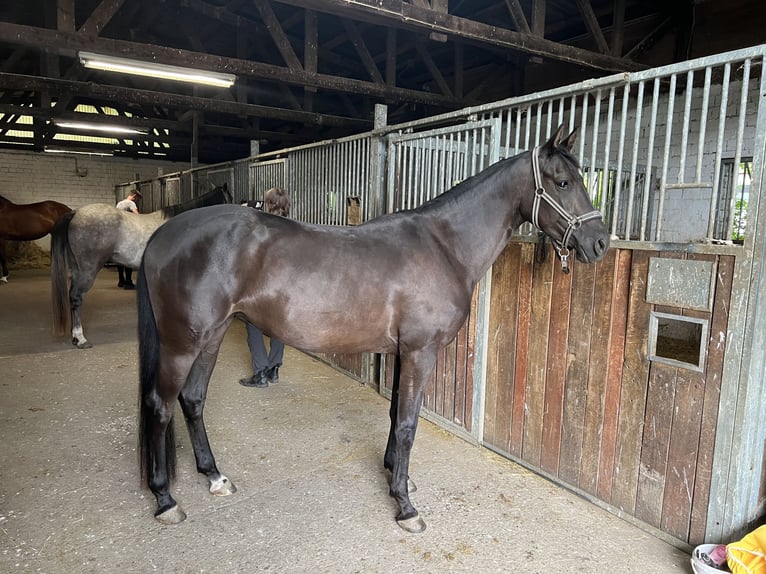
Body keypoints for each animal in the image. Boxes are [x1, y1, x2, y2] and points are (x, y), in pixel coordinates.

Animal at [51, 184, 232, 348]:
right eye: (229, 199)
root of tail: (75, 213)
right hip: (87, 269)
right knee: (76, 297)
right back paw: (81, 339)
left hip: (77, 269)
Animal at [135, 127, 608, 536]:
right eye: (563, 182)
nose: (600, 243)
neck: (443, 246)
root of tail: (162, 233)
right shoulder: (421, 352)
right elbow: (409, 424)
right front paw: (405, 506)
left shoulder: (402, 352)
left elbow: (395, 414)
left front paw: (396, 475)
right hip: (182, 343)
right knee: (160, 405)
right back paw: (165, 500)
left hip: (211, 336)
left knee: (193, 400)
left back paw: (215, 476)